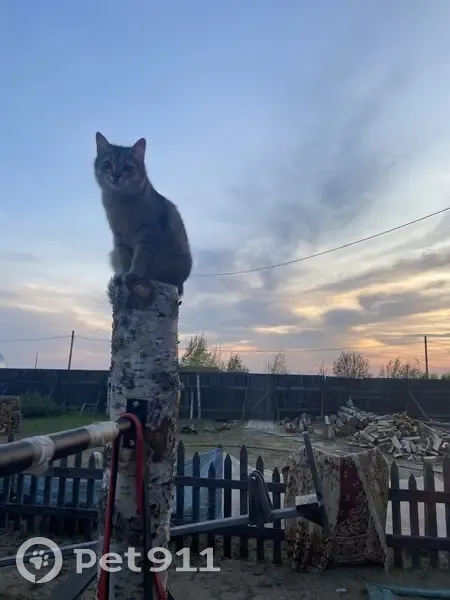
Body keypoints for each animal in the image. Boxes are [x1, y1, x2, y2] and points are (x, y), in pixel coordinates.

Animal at [94, 132, 192, 303]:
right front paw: (122, 274)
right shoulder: (118, 235)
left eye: (127, 167)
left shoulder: (147, 234)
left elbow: (140, 258)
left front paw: (133, 274)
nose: (115, 175)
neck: (122, 202)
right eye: (107, 164)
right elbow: (124, 257)